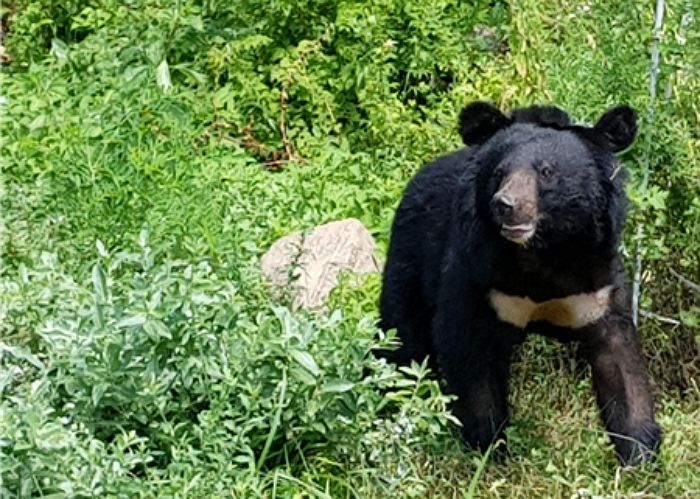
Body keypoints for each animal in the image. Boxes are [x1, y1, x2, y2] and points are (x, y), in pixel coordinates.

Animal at [382, 101, 660, 464]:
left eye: (546, 172)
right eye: (500, 173)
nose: (505, 205)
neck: (543, 253)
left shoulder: (597, 282)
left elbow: (620, 361)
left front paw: (639, 452)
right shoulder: (478, 274)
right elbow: (470, 353)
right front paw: (489, 447)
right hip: (410, 257)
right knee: (403, 338)